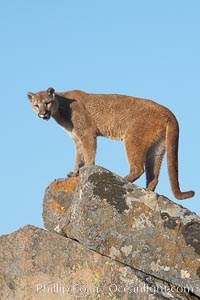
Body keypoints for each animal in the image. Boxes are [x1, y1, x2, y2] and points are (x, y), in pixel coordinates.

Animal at [27, 87, 194, 199]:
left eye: (47, 103)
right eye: (36, 105)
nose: (43, 113)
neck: (61, 106)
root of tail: (168, 112)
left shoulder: (87, 133)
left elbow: (88, 155)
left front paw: (86, 170)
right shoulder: (77, 139)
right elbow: (78, 157)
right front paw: (74, 173)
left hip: (132, 137)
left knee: (138, 168)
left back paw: (123, 181)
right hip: (157, 147)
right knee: (153, 175)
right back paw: (147, 191)